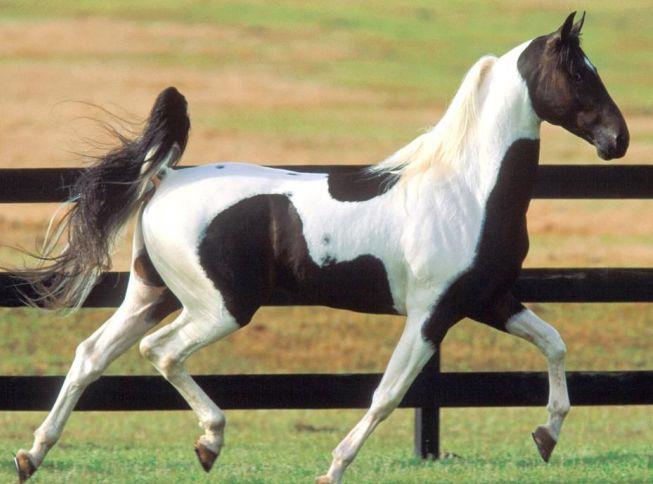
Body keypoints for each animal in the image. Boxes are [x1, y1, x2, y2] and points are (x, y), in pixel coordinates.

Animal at [13, 12, 628, 483]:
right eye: (578, 73)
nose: (617, 140)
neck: (467, 189)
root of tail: (164, 178)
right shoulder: (433, 314)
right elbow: (388, 394)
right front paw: (332, 467)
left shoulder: (488, 300)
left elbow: (554, 344)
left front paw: (546, 435)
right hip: (219, 308)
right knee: (160, 352)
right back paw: (209, 442)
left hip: (152, 294)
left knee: (92, 354)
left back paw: (31, 455)